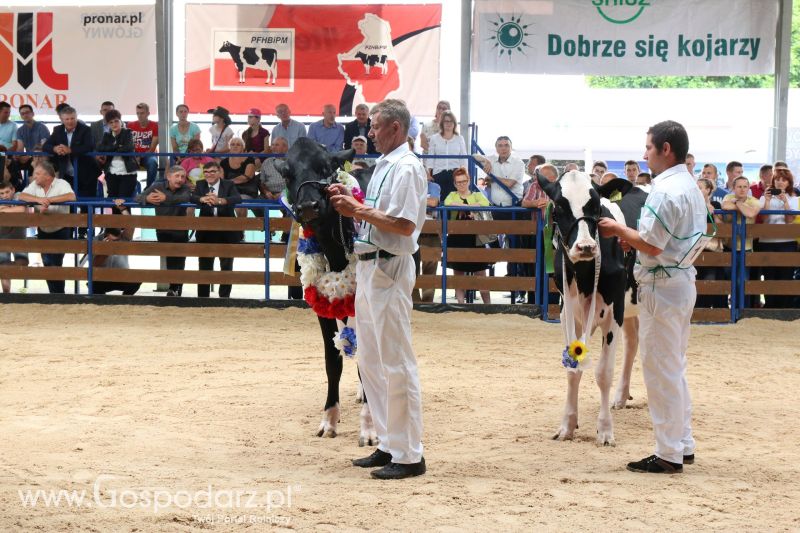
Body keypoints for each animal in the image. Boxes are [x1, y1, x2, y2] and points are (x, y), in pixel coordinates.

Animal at [540, 171, 636, 444]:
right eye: (558, 208)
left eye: (595, 206)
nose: (585, 247)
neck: (584, 275)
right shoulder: (567, 313)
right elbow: (573, 368)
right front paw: (567, 425)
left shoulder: (614, 312)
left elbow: (603, 372)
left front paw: (604, 430)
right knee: (632, 345)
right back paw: (620, 397)